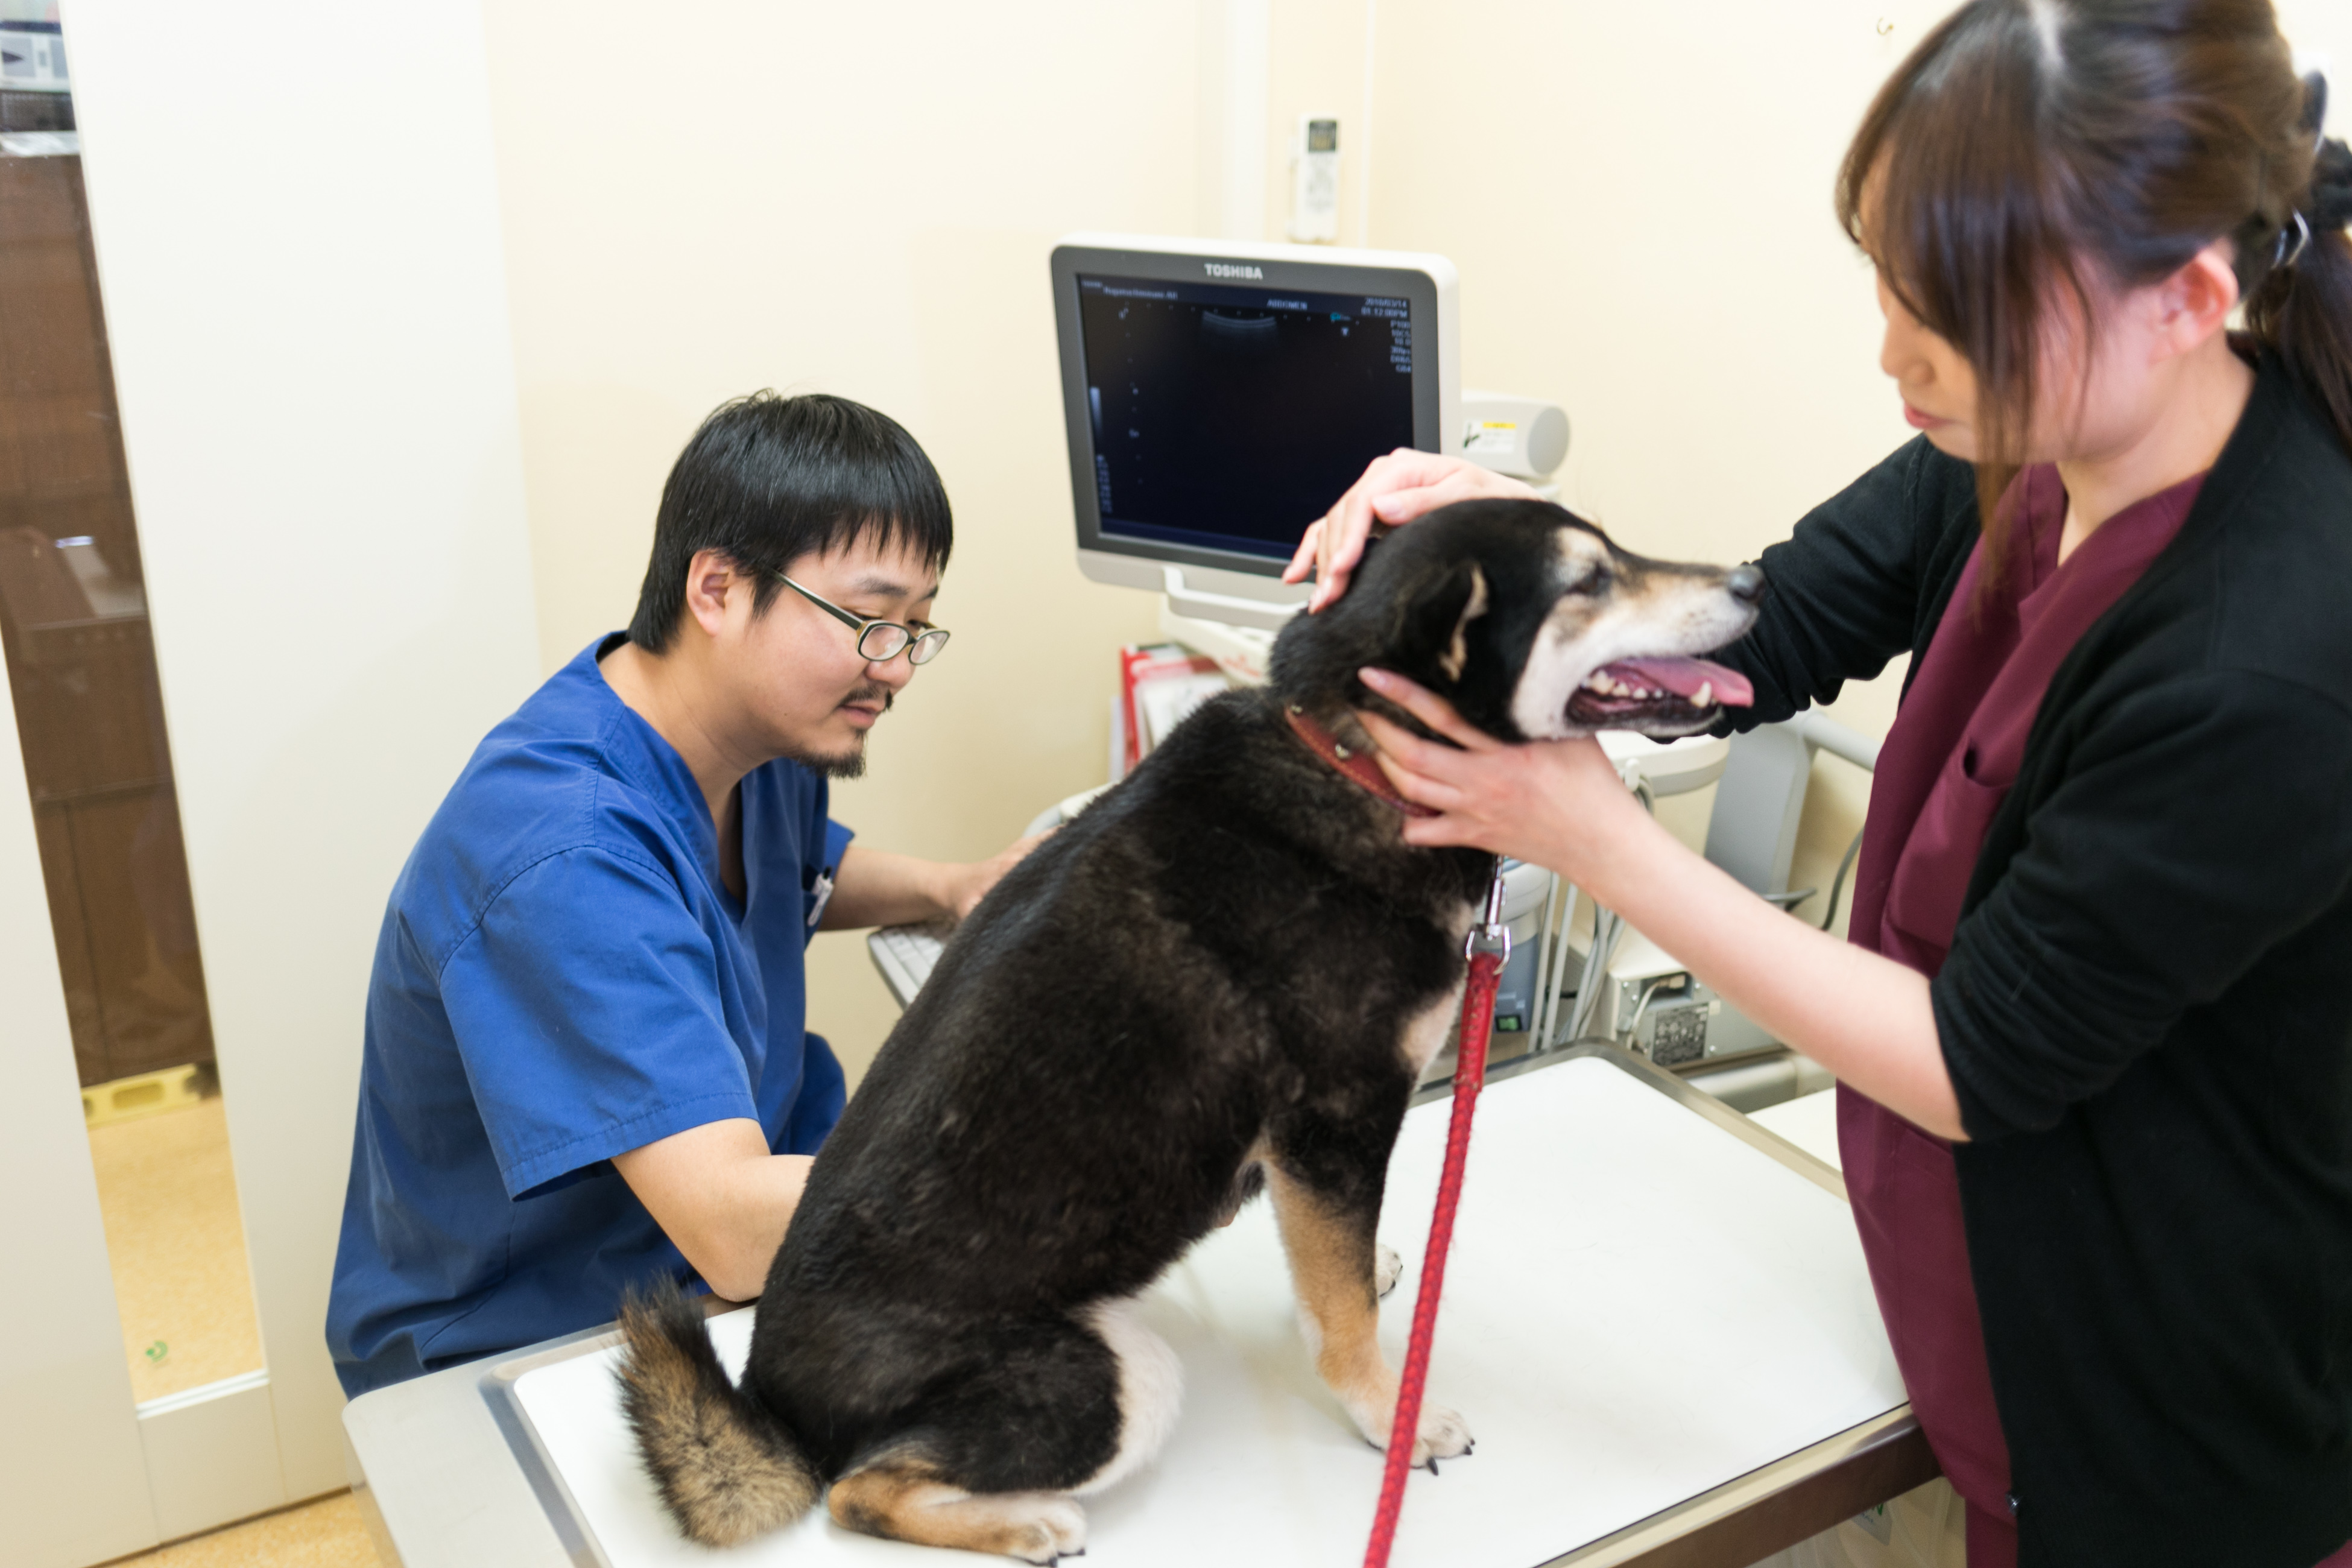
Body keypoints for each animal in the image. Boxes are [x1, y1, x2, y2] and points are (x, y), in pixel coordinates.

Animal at [616, 501, 1759, 1561]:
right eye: (1590, 579)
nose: (1752, 581)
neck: (1355, 763)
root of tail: (773, 1403)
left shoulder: (1310, 1162)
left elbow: (1332, 1279)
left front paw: (1376, 1276)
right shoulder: (1334, 1124)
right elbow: (1346, 1318)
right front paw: (1388, 1416)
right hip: (1115, 1380)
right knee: (860, 1495)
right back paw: (1026, 1523)